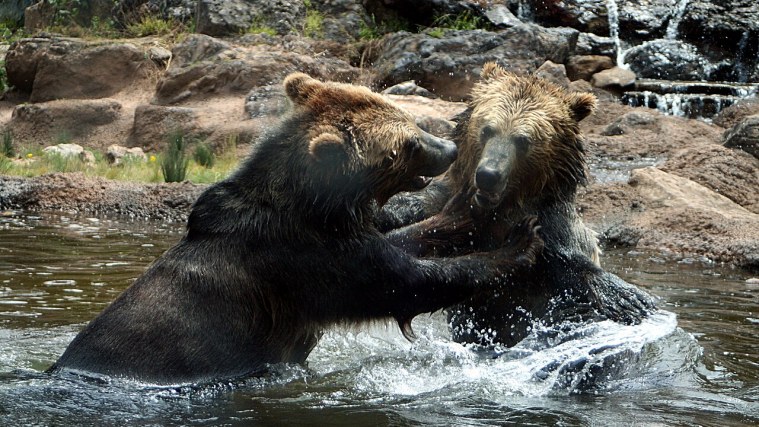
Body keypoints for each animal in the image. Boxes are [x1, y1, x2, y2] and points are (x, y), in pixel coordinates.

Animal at [47, 72, 544, 385]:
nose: (448, 148)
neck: (318, 207)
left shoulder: (337, 238)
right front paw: (519, 245)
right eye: (404, 145)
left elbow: (401, 244)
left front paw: (469, 215)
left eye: (407, 117)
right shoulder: (304, 262)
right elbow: (405, 281)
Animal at [379, 62, 656, 348]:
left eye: (523, 140)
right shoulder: (442, 202)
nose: (488, 175)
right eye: (487, 129)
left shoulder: (551, 233)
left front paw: (630, 299)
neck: (502, 209)